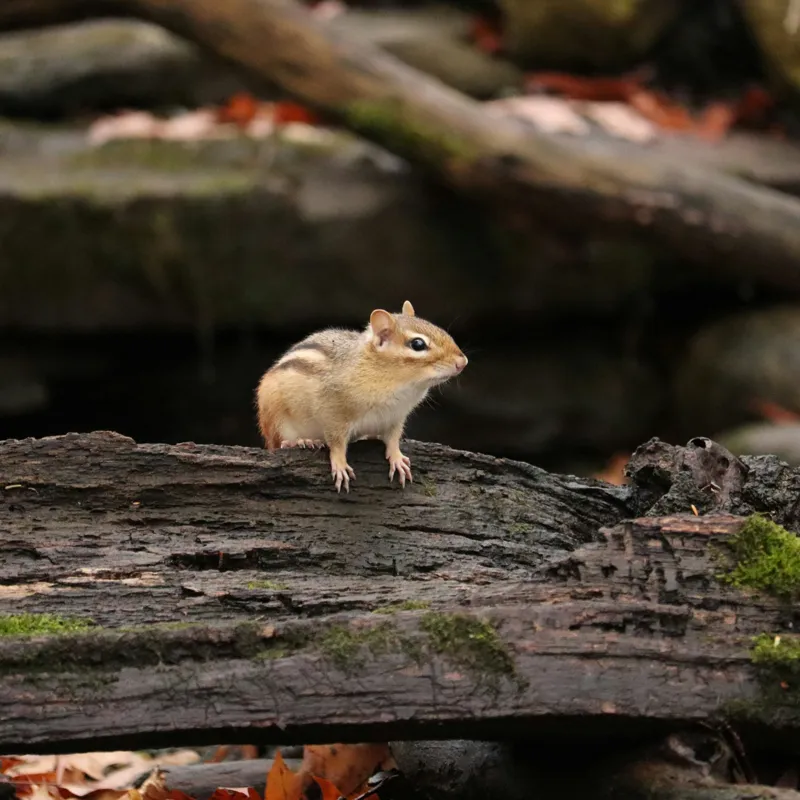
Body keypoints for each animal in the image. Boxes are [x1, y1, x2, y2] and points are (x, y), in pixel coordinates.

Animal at [256, 301, 468, 492]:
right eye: (417, 344)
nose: (463, 362)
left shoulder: (395, 417)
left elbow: (393, 438)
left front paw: (397, 458)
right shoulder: (333, 413)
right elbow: (336, 442)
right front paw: (340, 464)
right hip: (274, 413)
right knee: (278, 443)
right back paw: (302, 441)